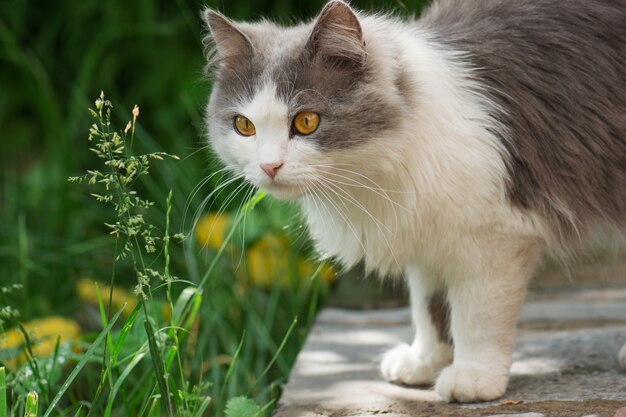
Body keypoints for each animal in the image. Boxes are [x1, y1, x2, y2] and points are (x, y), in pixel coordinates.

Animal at [201, 0, 624, 404]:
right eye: (244, 126)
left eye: (306, 121)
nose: (269, 166)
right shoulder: (425, 234)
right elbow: (428, 307)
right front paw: (425, 361)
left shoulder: (495, 237)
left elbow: (476, 315)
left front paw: (472, 377)